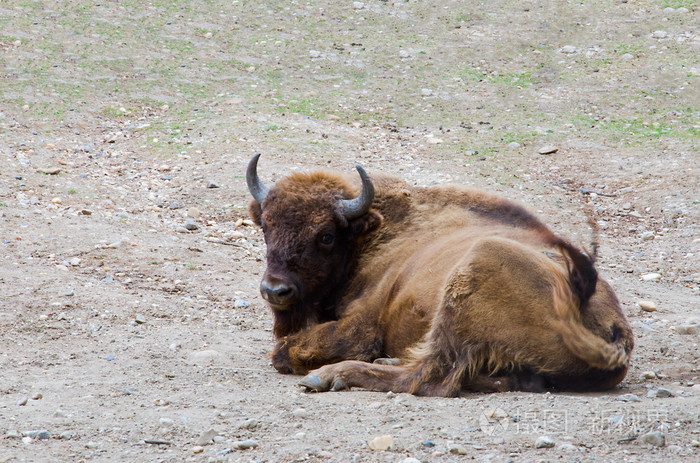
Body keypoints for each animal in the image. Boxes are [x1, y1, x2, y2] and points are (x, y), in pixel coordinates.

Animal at [246, 154, 636, 396]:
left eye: (325, 235)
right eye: (265, 225)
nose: (274, 290)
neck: (373, 231)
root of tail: (617, 332)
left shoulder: (361, 327)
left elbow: (285, 352)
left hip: (475, 268)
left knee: (429, 378)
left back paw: (330, 376)